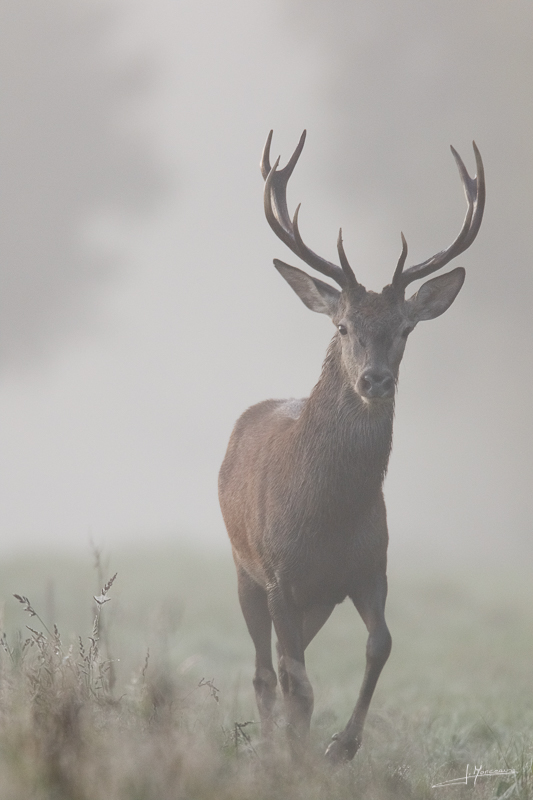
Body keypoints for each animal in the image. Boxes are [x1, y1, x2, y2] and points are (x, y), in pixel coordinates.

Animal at [218, 131, 485, 762]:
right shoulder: (279, 575)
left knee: (282, 666)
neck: (328, 514)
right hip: (244, 568)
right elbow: (296, 680)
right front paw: (298, 757)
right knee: (265, 671)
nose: (375, 379)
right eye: (342, 327)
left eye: (406, 328)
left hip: (315, 601)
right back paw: (272, 746)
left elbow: (380, 645)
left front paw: (341, 745)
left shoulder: (370, 567)